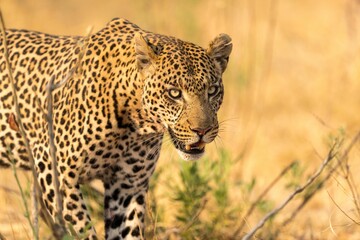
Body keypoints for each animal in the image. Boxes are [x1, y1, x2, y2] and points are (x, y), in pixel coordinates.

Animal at [0, 18, 232, 240]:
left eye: (212, 90)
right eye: (174, 93)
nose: (202, 130)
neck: (135, 124)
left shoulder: (127, 187)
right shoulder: (56, 172)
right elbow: (83, 233)